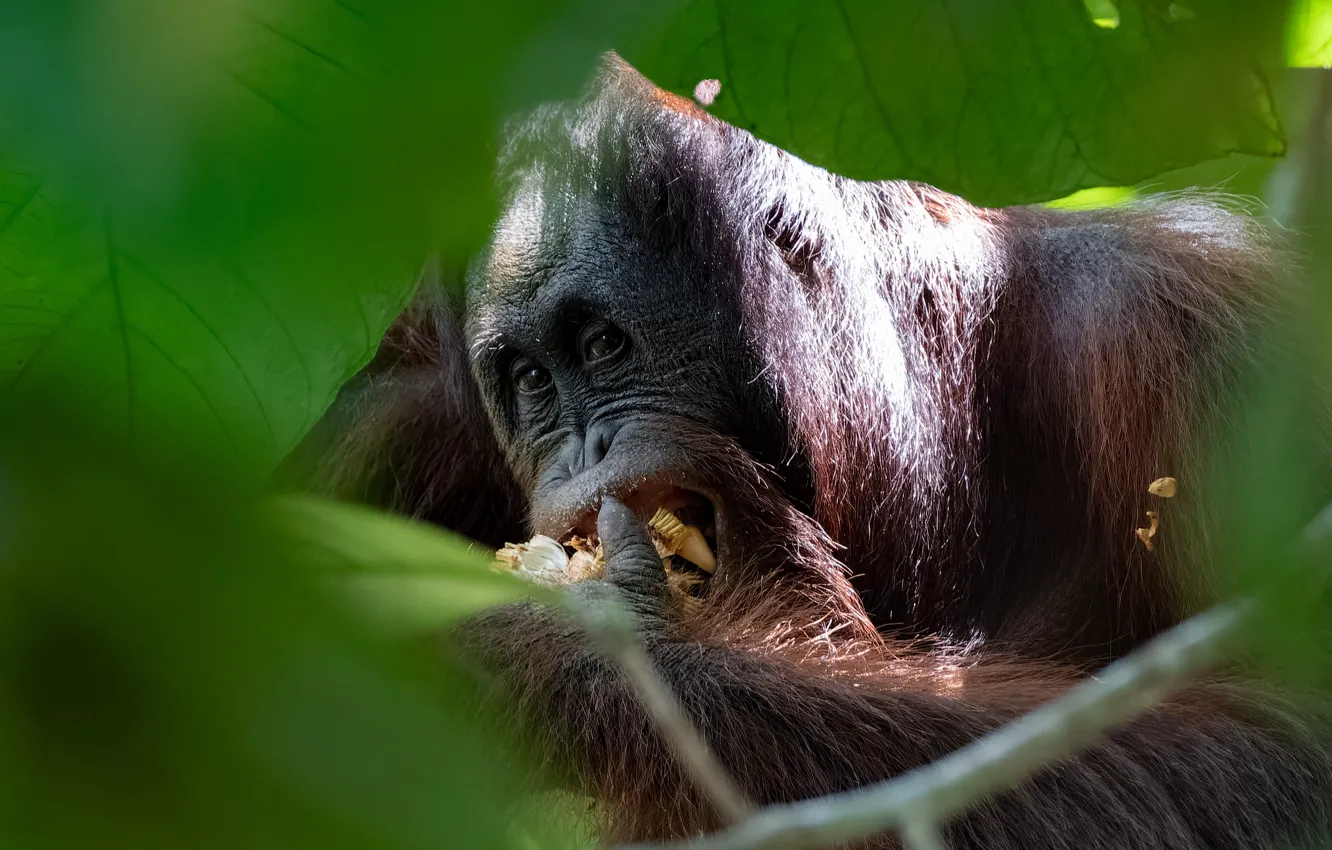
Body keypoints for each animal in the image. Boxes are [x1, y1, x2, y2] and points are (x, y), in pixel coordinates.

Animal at [299, 54, 1332, 848]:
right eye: (529, 380)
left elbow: (1282, 744)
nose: (583, 450)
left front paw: (586, 649)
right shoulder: (398, 417)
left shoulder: (1197, 334)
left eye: (601, 345)